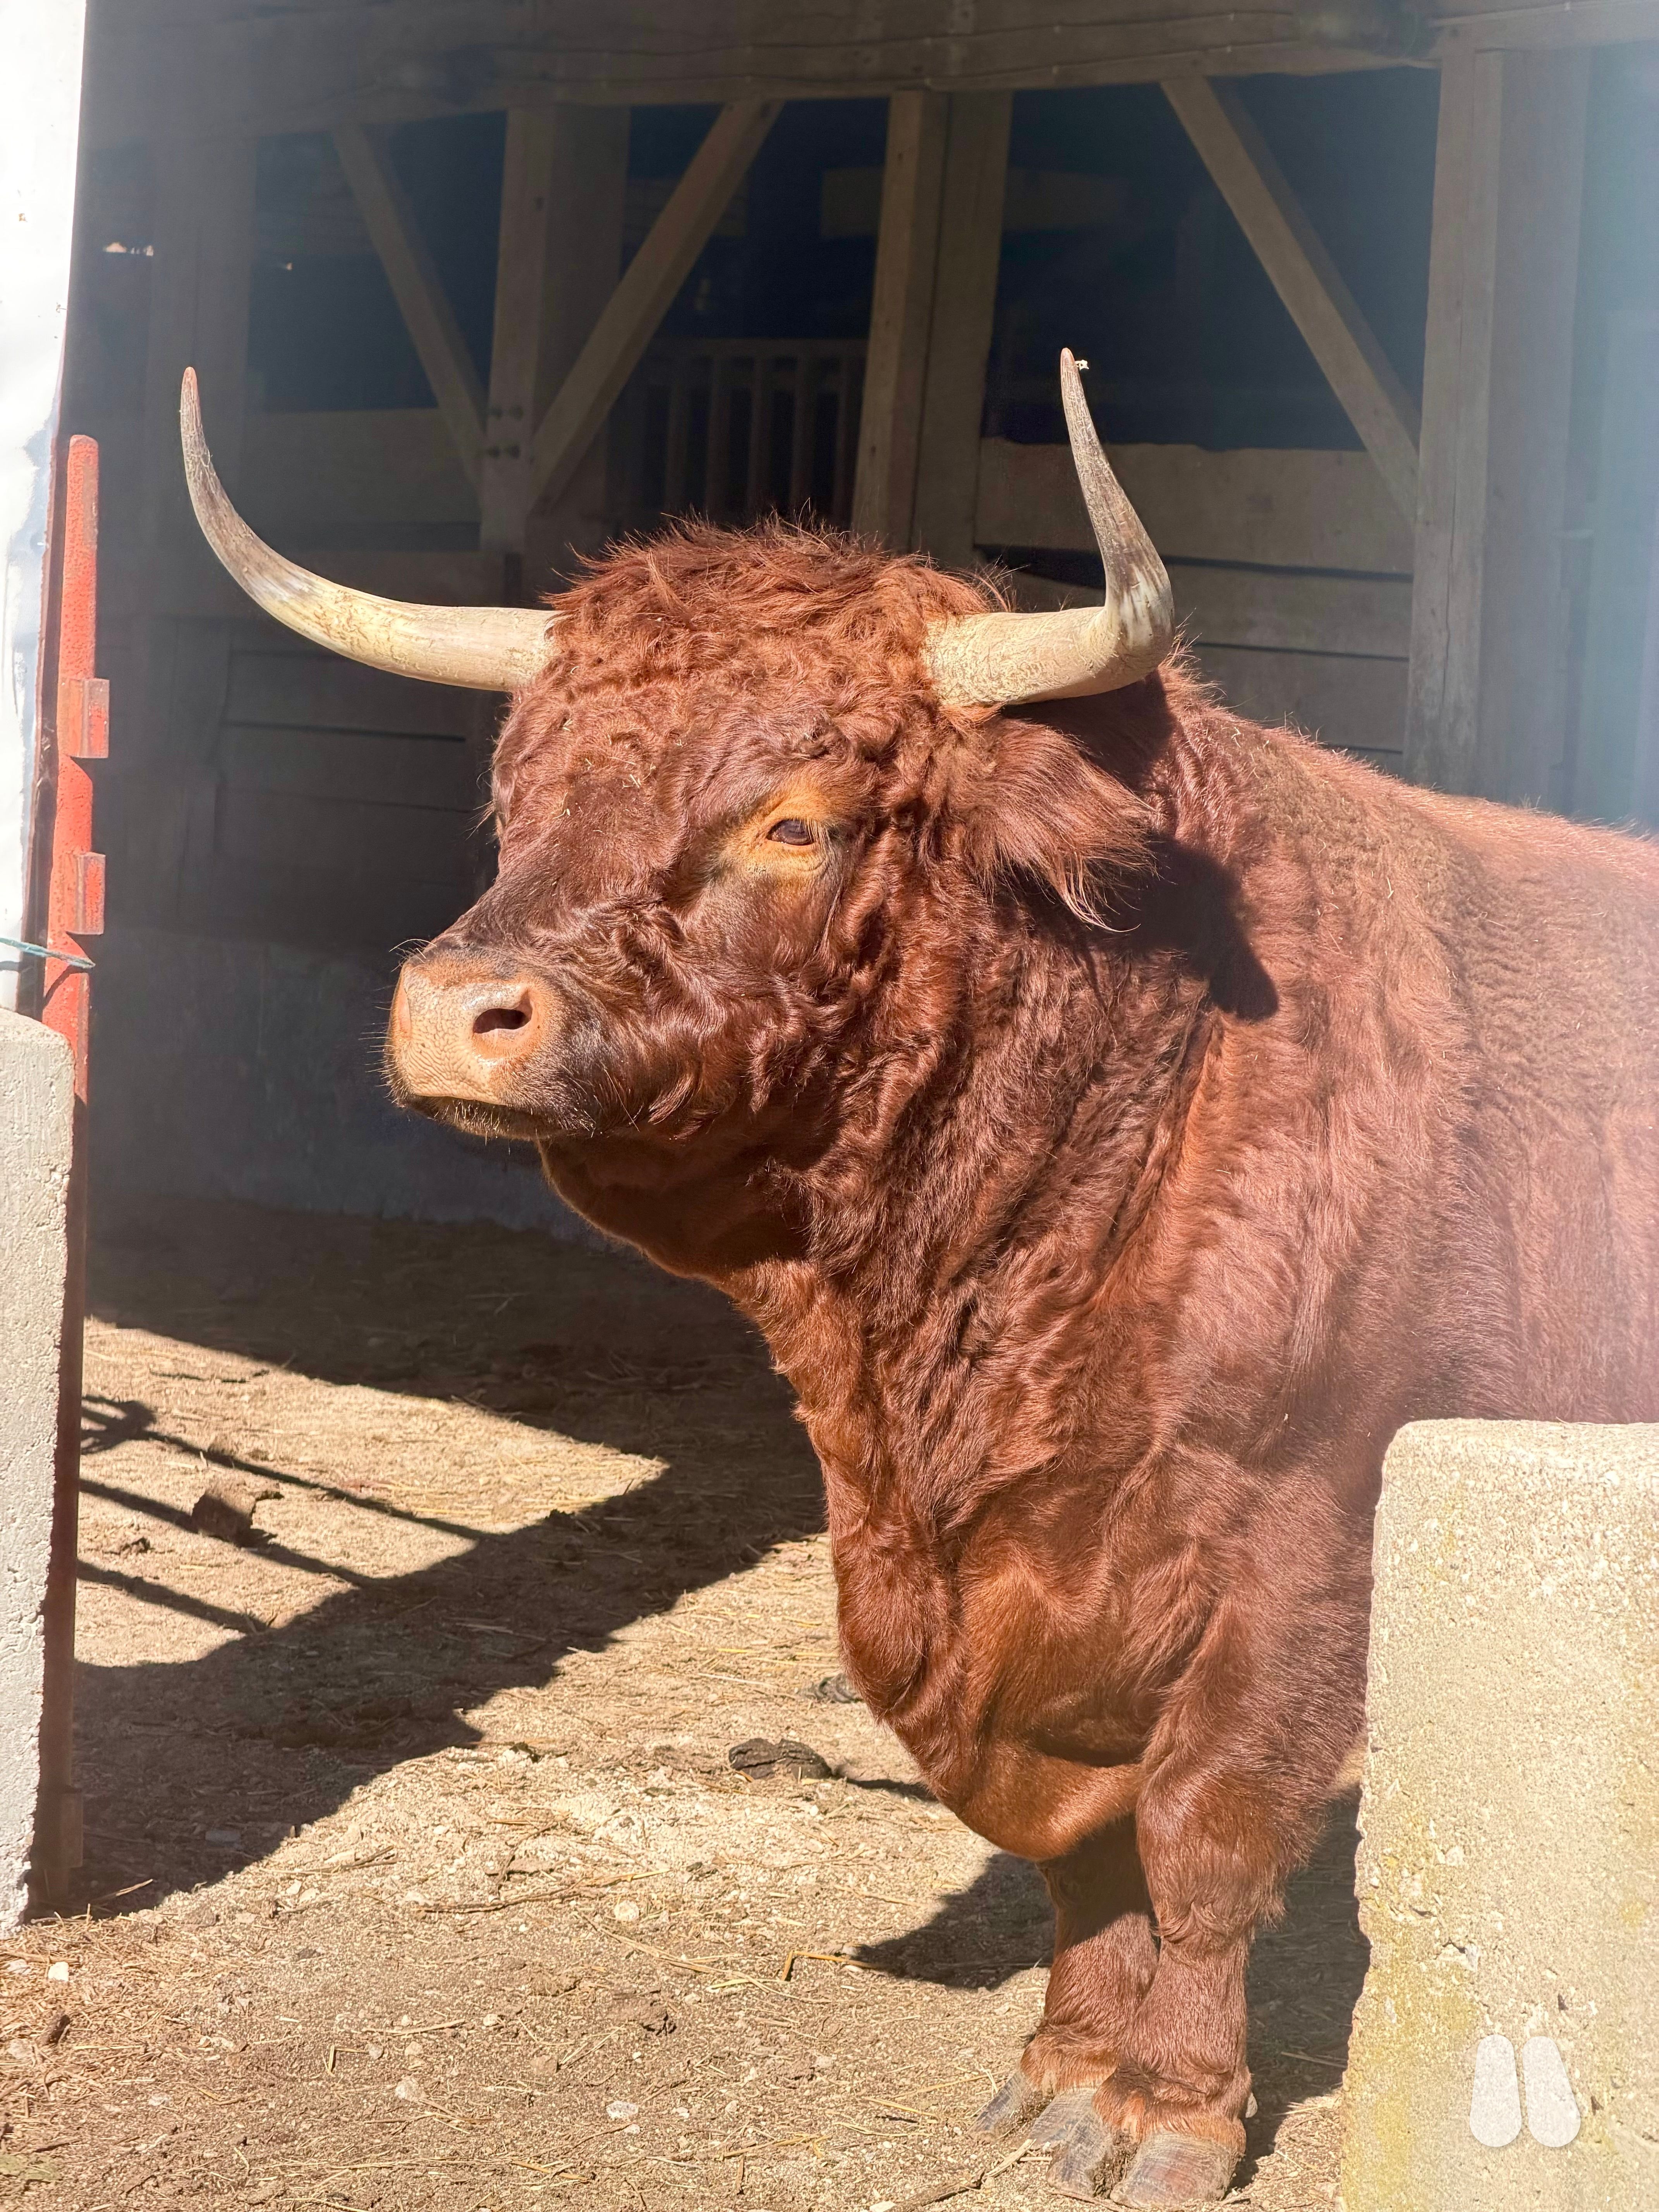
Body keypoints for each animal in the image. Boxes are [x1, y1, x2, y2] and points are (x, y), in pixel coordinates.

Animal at [180, 358, 1659, 2208]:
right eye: (521, 799)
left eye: (795, 822)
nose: (457, 1009)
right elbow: (1078, 1842)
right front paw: (1062, 2076)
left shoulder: (1301, 1545)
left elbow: (1202, 1825)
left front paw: (1170, 2112)